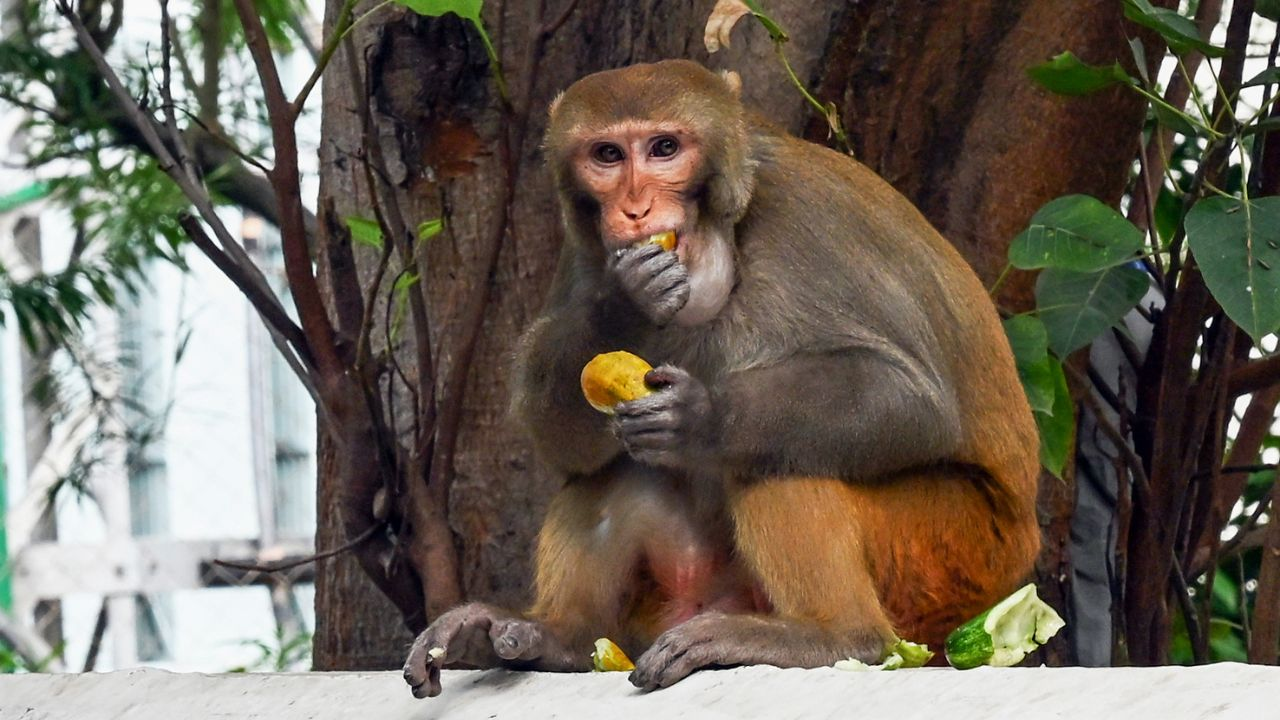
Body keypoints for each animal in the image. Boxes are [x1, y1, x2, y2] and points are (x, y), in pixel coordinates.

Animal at [403, 59, 1040, 697]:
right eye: (607, 154)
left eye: (664, 148)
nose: (634, 209)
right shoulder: (582, 250)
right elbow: (564, 445)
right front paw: (624, 303)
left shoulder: (810, 216)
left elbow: (912, 399)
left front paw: (703, 415)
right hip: (690, 586)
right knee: (618, 468)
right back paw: (551, 634)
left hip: (951, 551)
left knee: (783, 456)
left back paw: (833, 634)